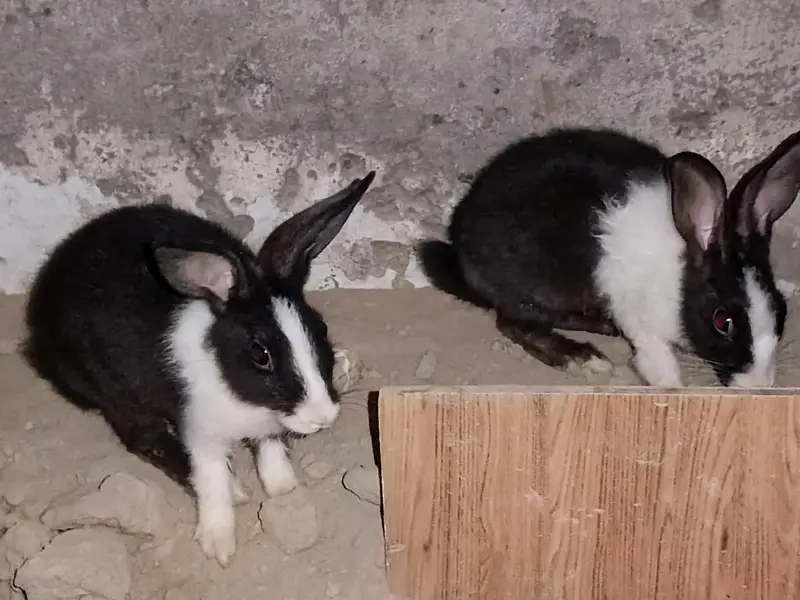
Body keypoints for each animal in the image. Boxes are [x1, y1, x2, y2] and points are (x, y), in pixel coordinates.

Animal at [22, 170, 376, 566]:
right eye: (260, 354)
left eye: (321, 328)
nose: (323, 417)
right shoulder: (200, 432)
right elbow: (210, 480)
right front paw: (219, 542)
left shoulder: (267, 429)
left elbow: (270, 452)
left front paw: (285, 489)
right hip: (115, 395)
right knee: (144, 439)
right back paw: (235, 489)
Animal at [418, 127, 800, 388]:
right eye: (723, 322)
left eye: (781, 309)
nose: (759, 385)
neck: (680, 277)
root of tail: (460, 244)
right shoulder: (638, 317)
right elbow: (655, 356)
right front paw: (671, 385)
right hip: (531, 284)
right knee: (513, 322)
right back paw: (583, 358)